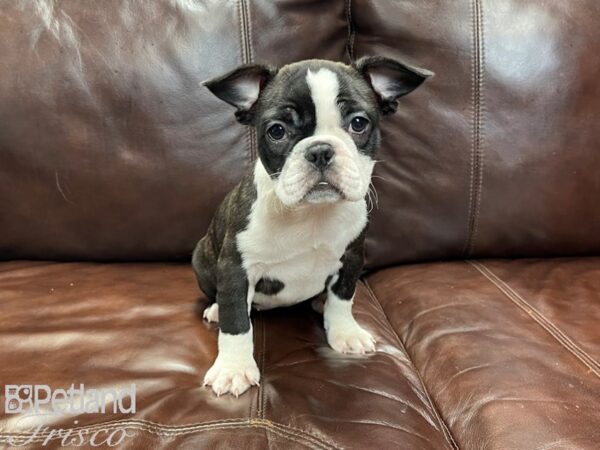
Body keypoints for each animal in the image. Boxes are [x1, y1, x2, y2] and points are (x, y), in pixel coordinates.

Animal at [193, 57, 432, 398]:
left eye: (358, 123)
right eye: (277, 131)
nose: (320, 150)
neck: (311, 213)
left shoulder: (351, 258)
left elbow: (343, 298)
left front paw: (345, 332)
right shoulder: (235, 268)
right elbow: (236, 320)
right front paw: (233, 368)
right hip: (202, 256)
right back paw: (215, 310)